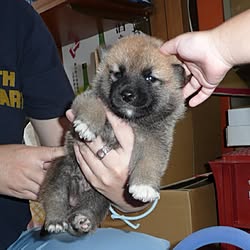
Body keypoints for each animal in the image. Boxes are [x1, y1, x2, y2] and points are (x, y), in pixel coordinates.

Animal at [39, 33, 186, 236]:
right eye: (117, 73)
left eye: (149, 77)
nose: (127, 95)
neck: (129, 119)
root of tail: (76, 197)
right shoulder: (86, 97)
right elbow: (96, 106)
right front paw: (87, 126)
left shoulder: (156, 139)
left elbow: (150, 160)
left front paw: (144, 186)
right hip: (61, 172)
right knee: (55, 197)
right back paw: (56, 221)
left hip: (100, 196)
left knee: (89, 208)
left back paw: (83, 220)